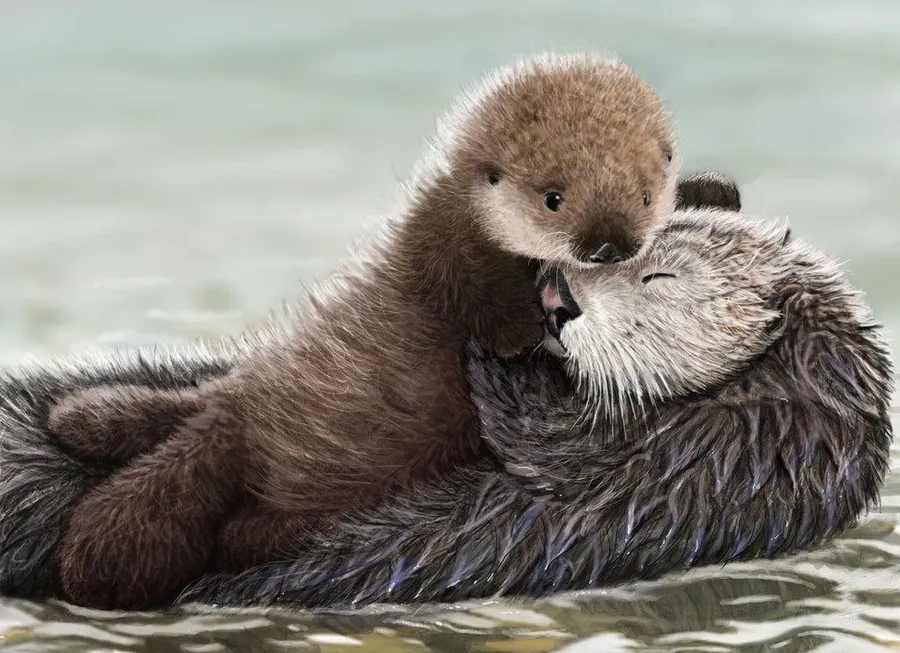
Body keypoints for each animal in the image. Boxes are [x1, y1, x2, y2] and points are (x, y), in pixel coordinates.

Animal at [40, 53, 685, 610]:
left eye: (646, 194)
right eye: (553, 198)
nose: (610, 245)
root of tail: (228, 415)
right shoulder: (445, 240)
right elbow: (475, 294)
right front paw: (520, 331)